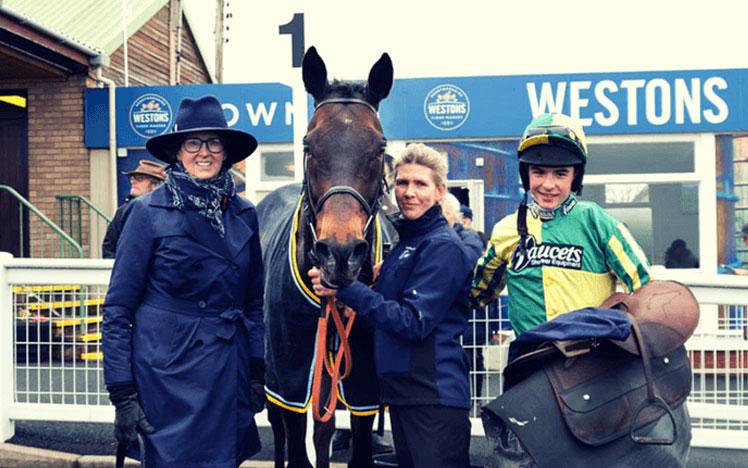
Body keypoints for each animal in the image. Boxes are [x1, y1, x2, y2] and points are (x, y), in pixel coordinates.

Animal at [258, 44, 394, 468]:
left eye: (380, 147)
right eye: (307, 145)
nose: (340, 252)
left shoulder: (364, 380)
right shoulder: (291, 377)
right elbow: (298, 441)